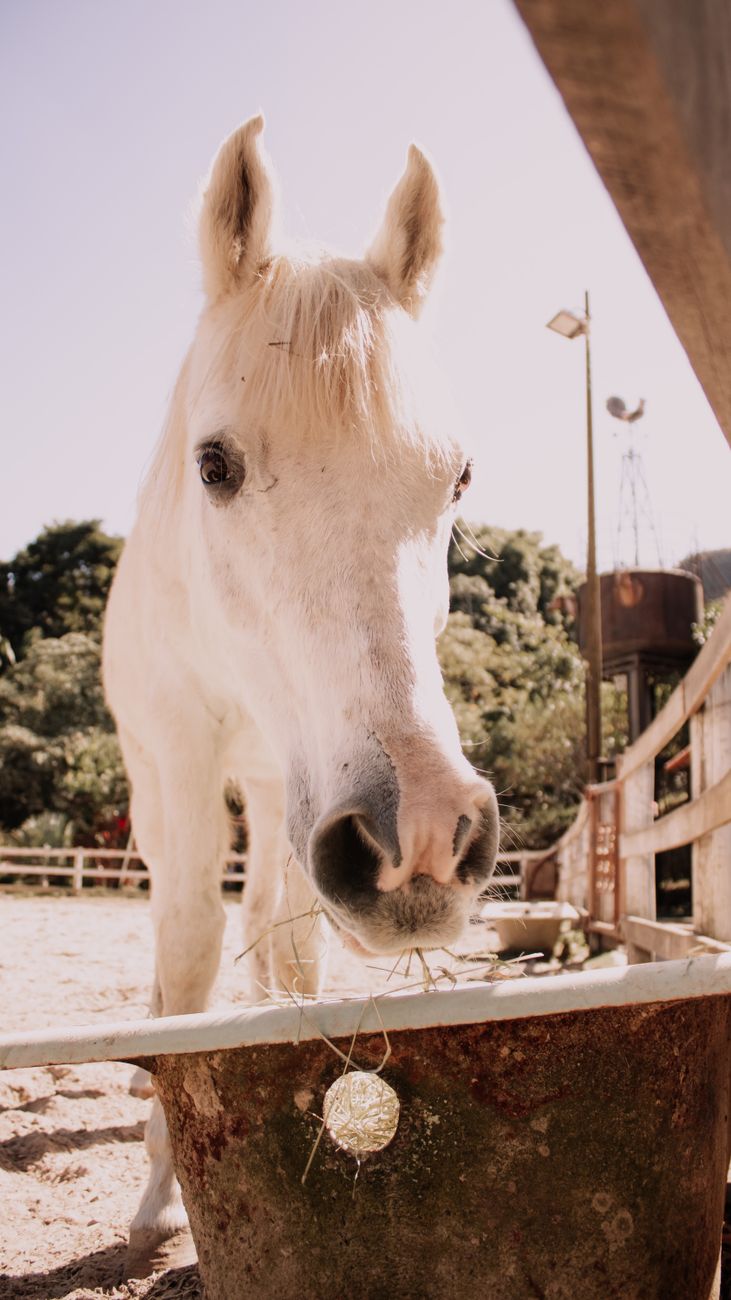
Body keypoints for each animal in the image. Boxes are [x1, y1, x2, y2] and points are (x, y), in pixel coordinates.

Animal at [103, 114, 499, 1275]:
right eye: (214, 464)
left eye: (458, 479)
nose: (423, 837)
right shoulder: (185, 756)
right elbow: (188, 949)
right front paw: (160, 1196)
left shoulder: (300, 783)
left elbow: (288, 940)